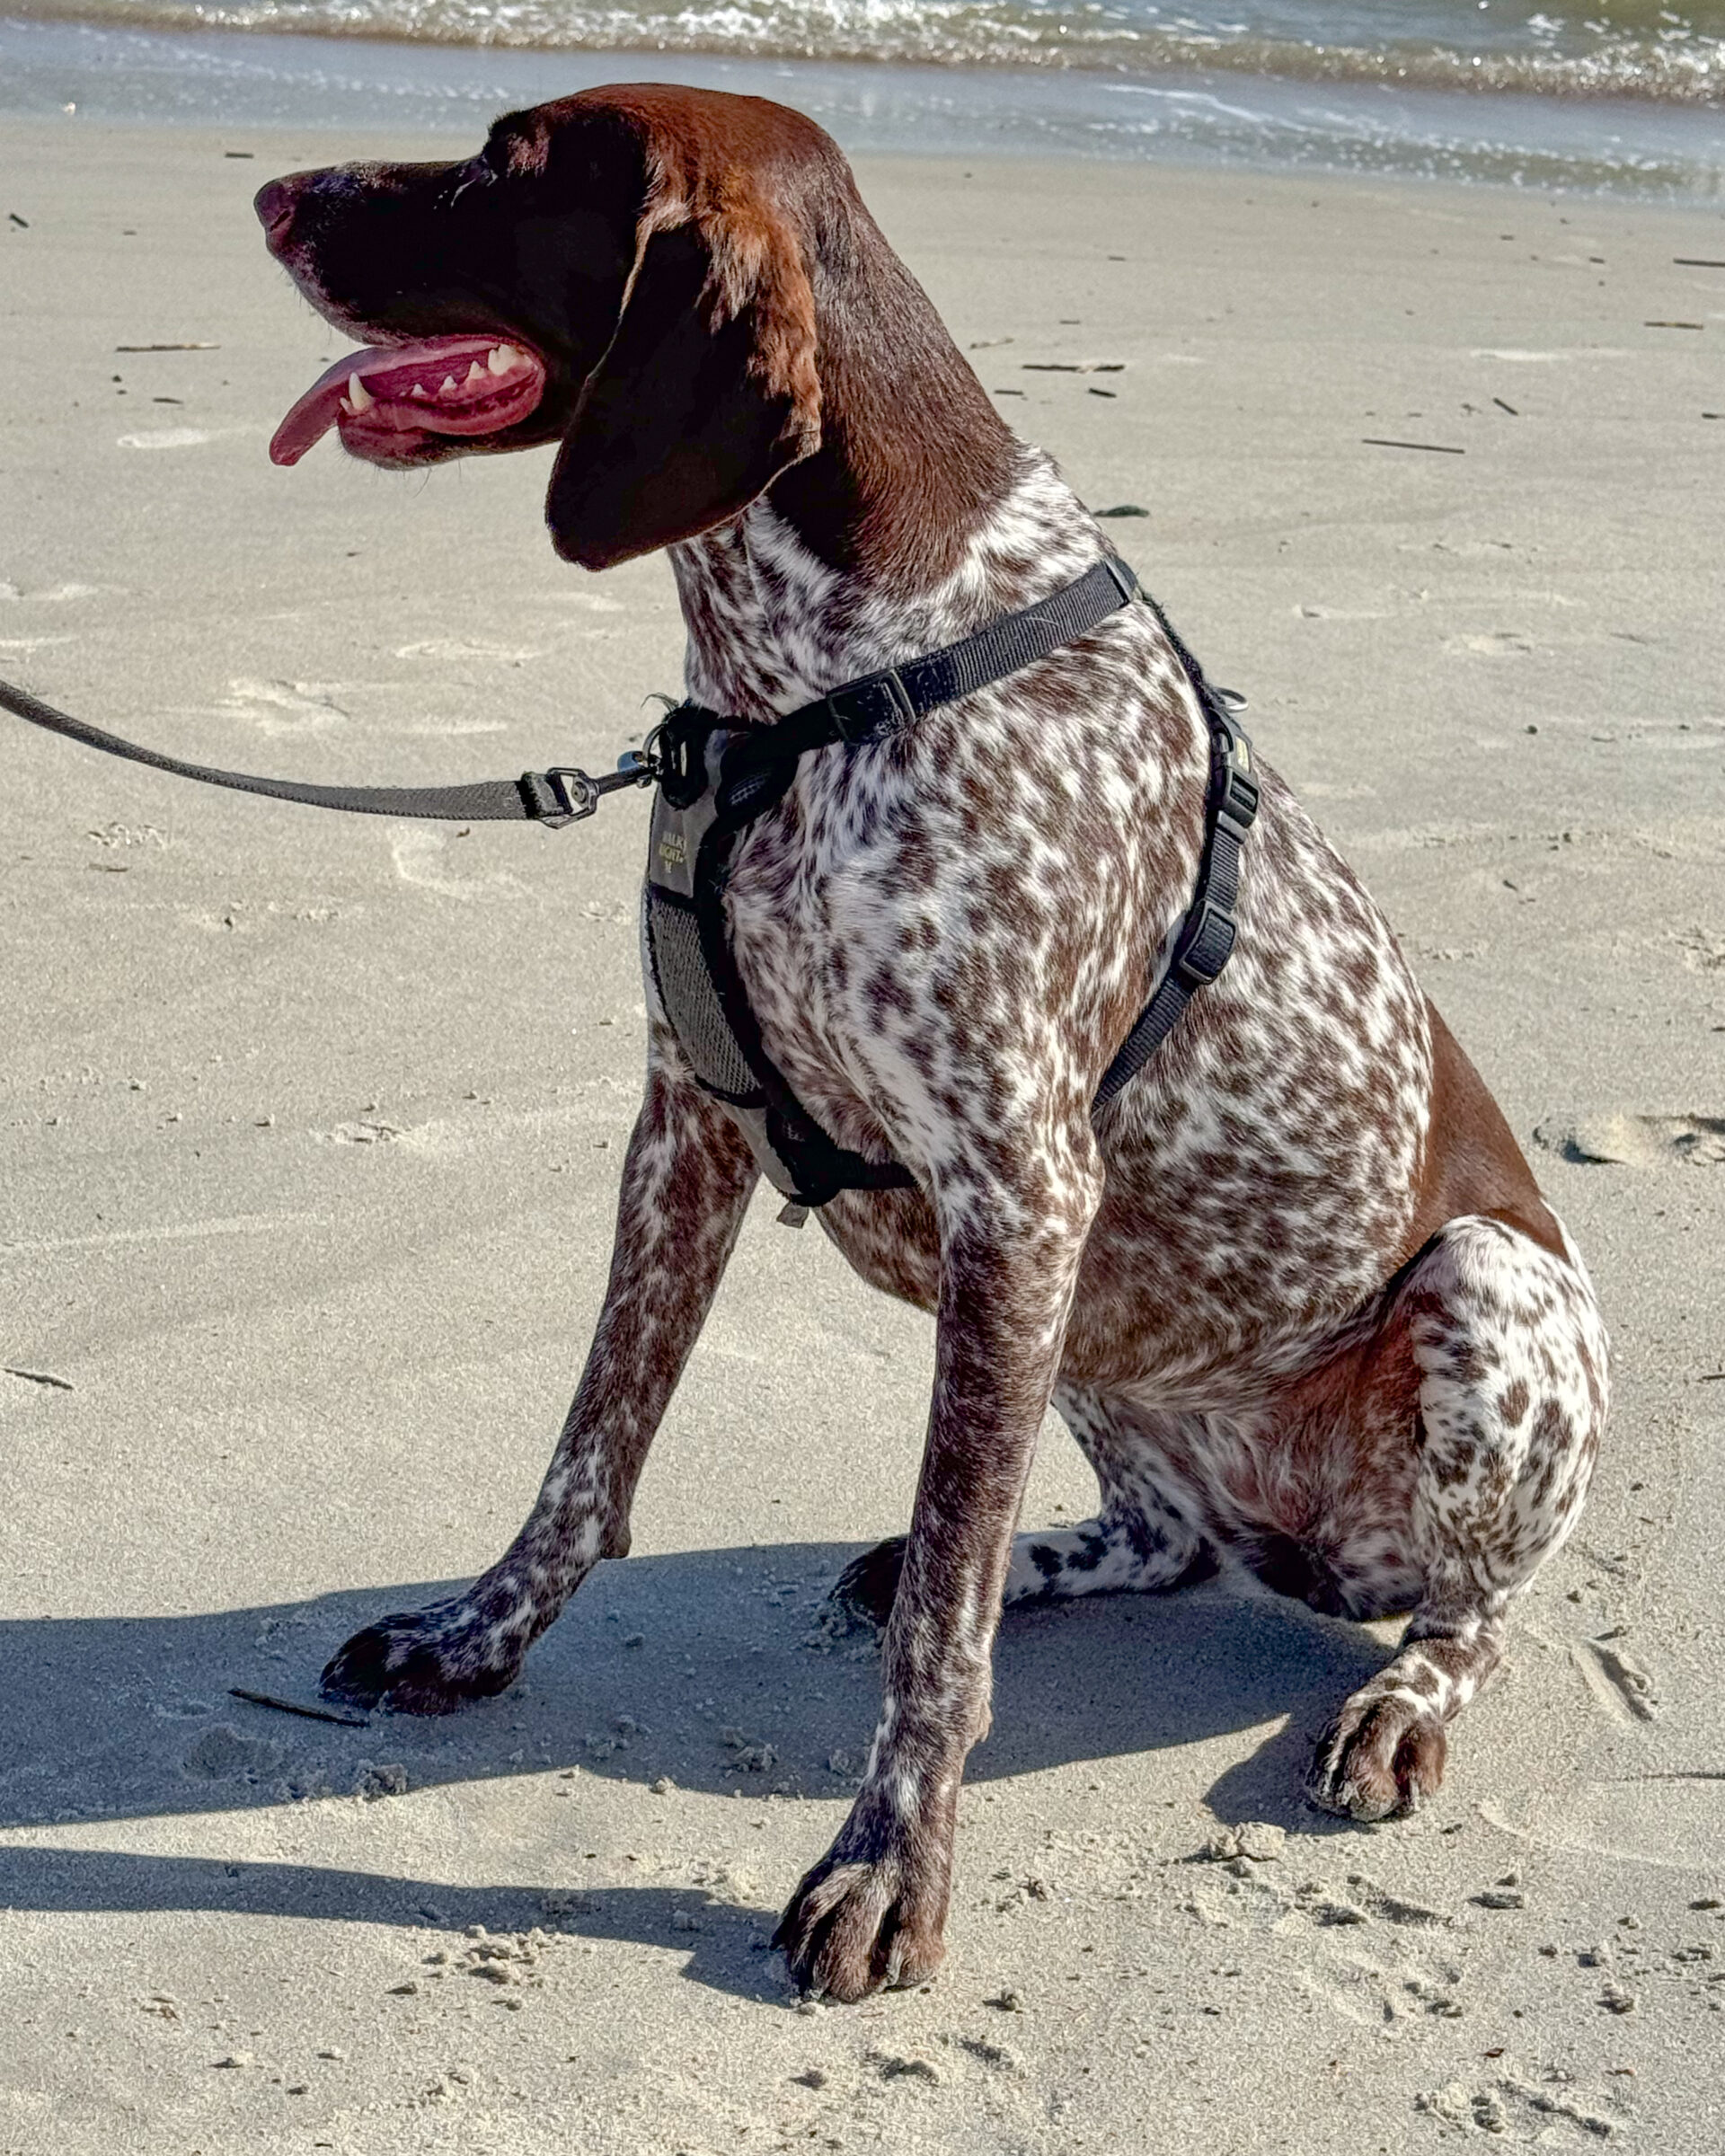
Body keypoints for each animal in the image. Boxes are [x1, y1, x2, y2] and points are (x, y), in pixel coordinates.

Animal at [252, 84, 1604, 2001]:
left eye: (513, 161)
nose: (275, 192)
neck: (814, 689)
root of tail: (1319, 1555)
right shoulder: (687, 1131)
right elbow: (590, 1455)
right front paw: (475, 1637)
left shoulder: (1018, 1188)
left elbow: (939, 1653)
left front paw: (893, 1863)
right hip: (1102, 1334)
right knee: (1159, 1542)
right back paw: (1016, 1555)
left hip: (1479, 1286)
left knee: (1473, 1605)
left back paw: (1403, 1699)